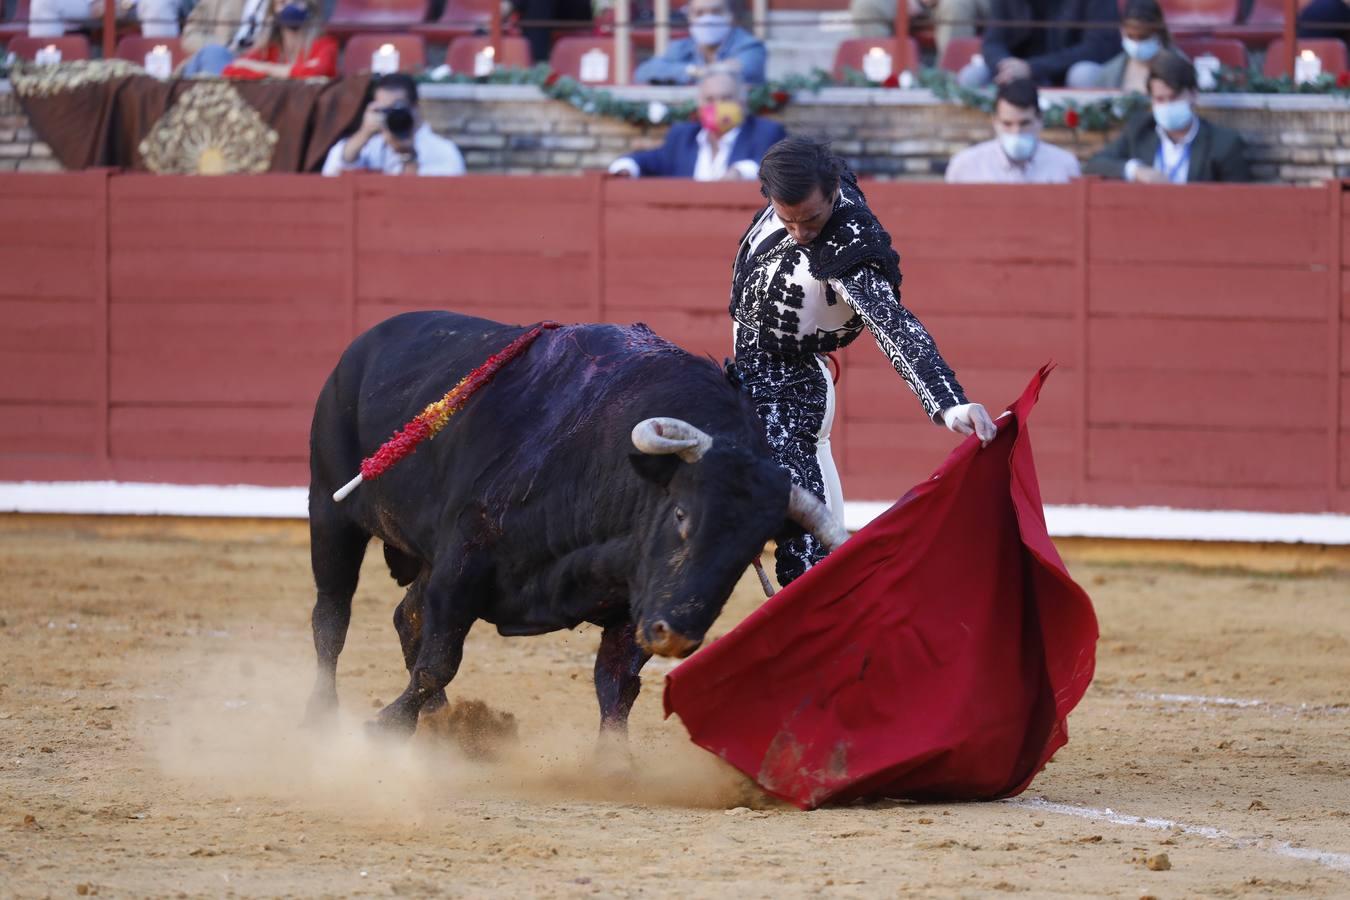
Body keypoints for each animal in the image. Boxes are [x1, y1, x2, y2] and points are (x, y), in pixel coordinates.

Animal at [306, 311, 842, 739]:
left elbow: (618, 684)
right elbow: (439, 661)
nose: (675, 635)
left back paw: (444, 724)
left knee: (406, 615)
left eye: (749, 550)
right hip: (329, 512)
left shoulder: (632, 603)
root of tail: (365, 343)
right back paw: (323, 717)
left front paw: (614, 764)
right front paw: (385, 727)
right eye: (681, 514)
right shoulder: (462, 565)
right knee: (332, 617)